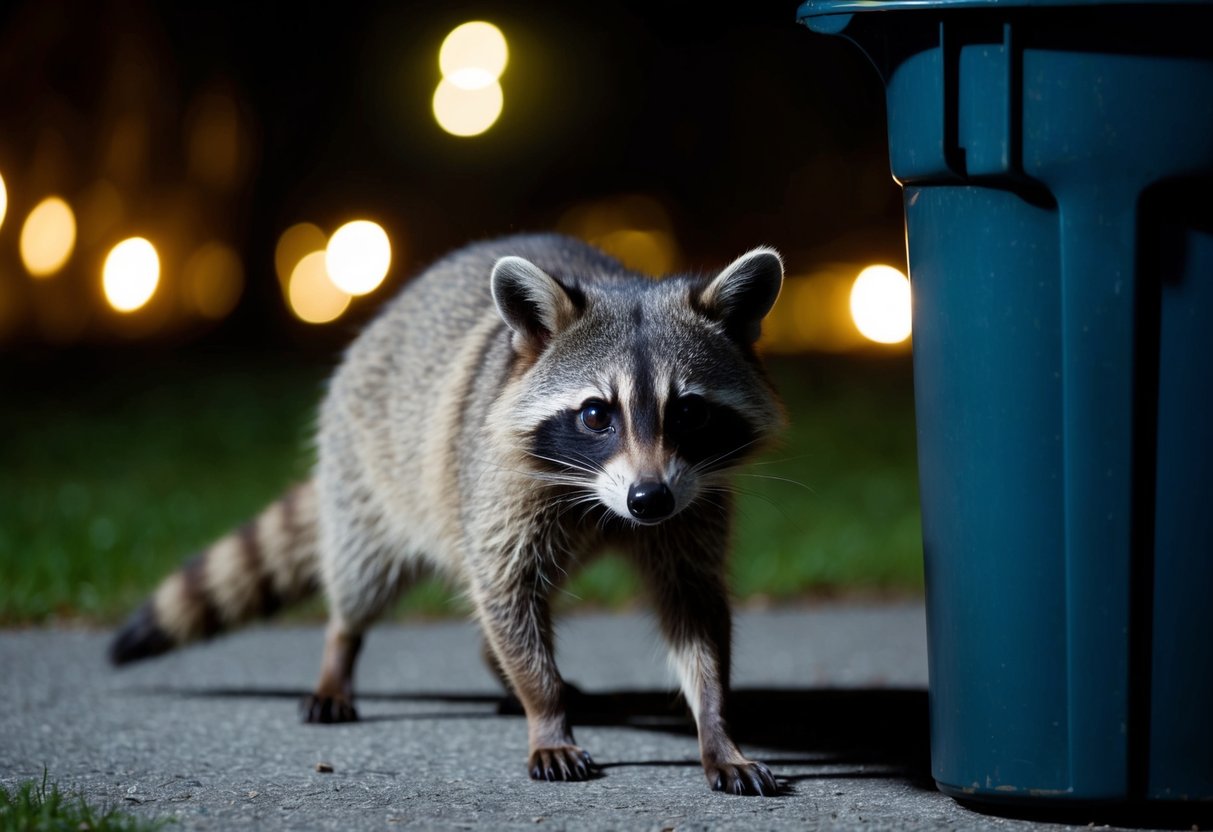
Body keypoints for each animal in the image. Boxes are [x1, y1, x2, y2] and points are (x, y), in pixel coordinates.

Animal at [110, 233, 786, 796]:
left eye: (690, 413)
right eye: (597, 414)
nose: (648, 501)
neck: (602, 501)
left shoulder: (693, 496)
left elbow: (694, 606)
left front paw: (716, 726)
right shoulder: (499, 485)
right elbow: (506, 590)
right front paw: (545, 710)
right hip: (368, 463)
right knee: (365, 577)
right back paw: (340, 652)